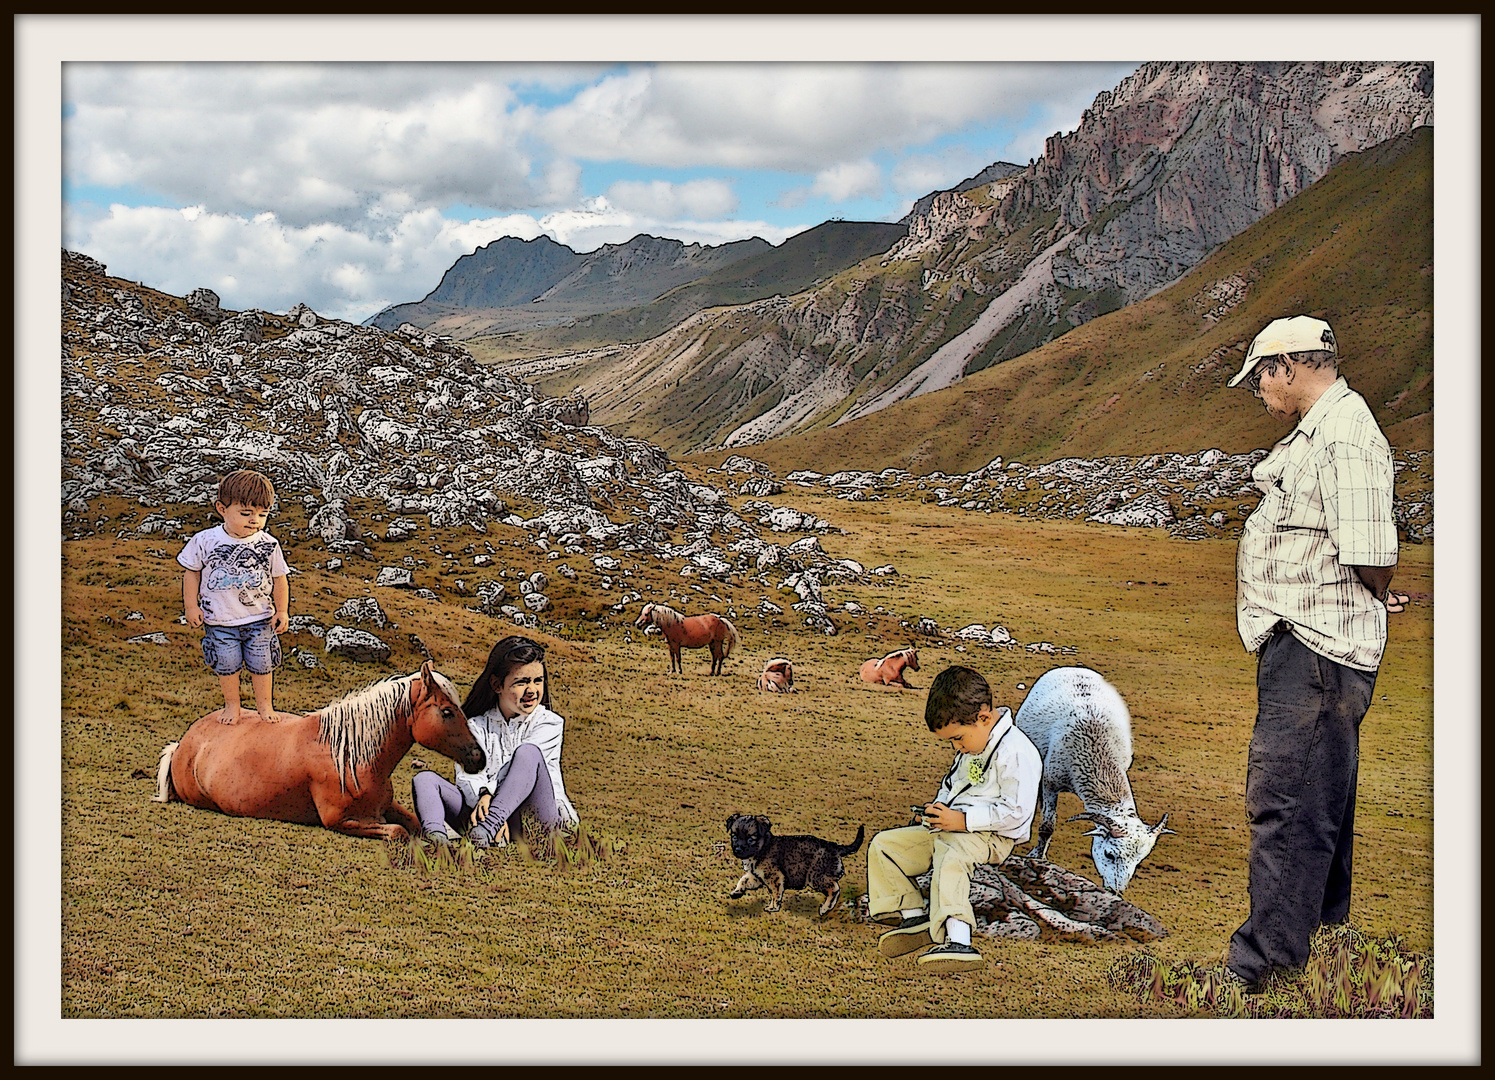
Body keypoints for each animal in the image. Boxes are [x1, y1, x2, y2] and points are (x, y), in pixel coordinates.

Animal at [150, 655, 481, 843]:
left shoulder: (386, 807)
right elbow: (399, 832)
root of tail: (184, 743)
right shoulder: (343, 822)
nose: (479, 757)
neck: (351, 758)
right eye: (447, 712)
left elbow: (417, 825)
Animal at [726, 813, 867, 915]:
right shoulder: (757, 876)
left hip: (815, 877)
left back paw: (825, 908)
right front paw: (737, 892)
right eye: (734, 837)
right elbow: (743, 879)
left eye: (751, 839)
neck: (763, 847)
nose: (737, 850)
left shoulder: (774, 877)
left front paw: (773, 907)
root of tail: (835, 847)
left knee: (835, 889)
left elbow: (775, 894)